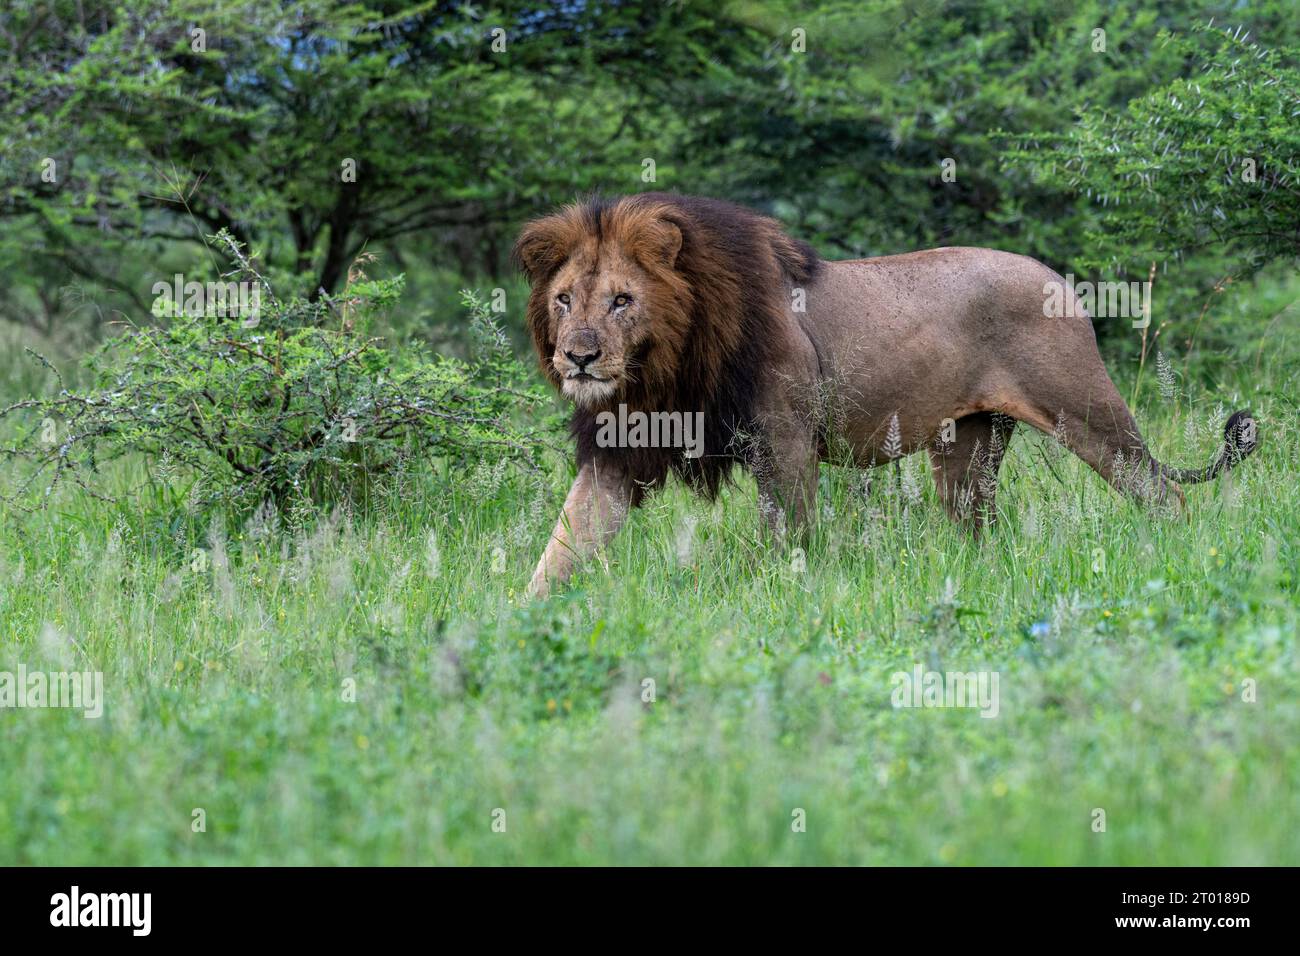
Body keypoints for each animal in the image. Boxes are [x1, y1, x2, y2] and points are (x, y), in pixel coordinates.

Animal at [514, 193, 1258, 598]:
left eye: (621, 300)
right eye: (563, 299)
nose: (578, 356)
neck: (659, 370)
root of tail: (1059, 279)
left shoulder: (784, 441)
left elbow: (789, 538)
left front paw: (784, 595)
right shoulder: (617, 453)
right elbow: (564, 546)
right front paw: (513, 622)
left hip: (1085, 408)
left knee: (1160, 492)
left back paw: (1178, 557)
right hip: (970, 444)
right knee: (978, 525)